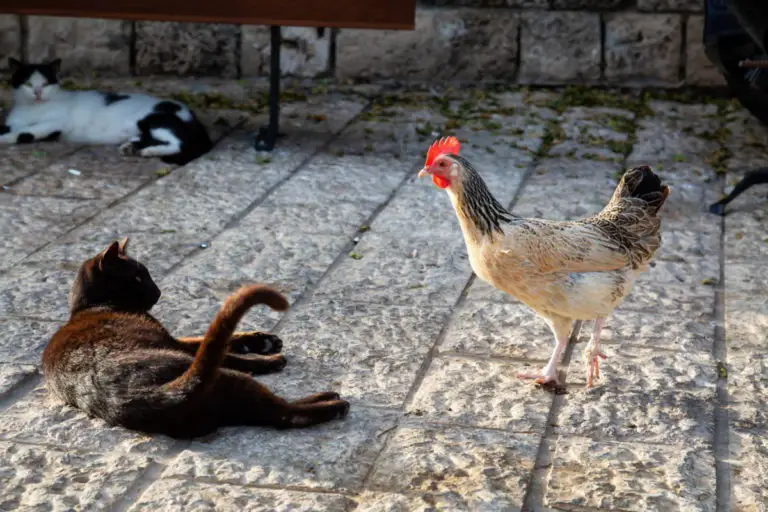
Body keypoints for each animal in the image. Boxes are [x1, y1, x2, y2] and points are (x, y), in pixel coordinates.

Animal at [2, 59, 213, 165]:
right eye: (28, 84)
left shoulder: (53, 124)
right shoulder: (13, 122)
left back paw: (148, 151)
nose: (37, 93)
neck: (32, 108)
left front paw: (4, 139)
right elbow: (12, 128)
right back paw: (132, 146)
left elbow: (24, 133)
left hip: (154, 120)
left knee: (177, 143)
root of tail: (193, 117)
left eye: (45, 84)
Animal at [43, 238, 350, 438]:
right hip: (223, 376)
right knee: (285, 413)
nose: (158, 292)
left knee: (275, 413)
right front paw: (270, 358)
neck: (90, 306)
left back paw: (327, 397)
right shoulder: (173, 343)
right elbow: (229, 352)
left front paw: (263, 340)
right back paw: (335, 403)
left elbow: (208, 337)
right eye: (139, 278)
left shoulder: (176, 339)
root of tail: (149, 397)